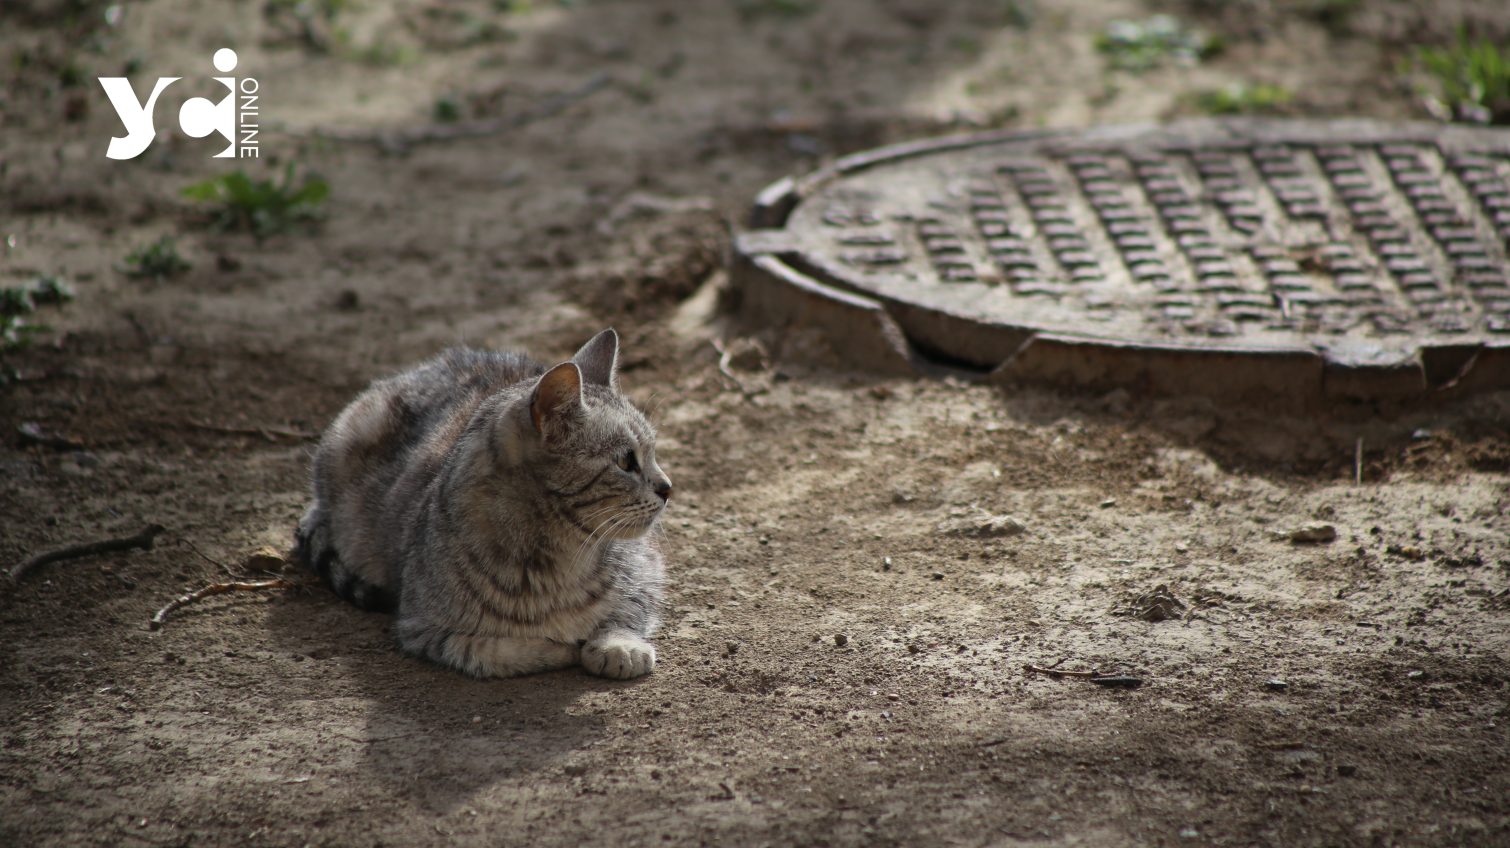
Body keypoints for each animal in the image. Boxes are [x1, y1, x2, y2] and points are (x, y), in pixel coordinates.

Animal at [294, 327, 673, 675]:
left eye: (653, 452)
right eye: (625, 461)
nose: (668, 487)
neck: (552, 559)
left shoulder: (647, 571)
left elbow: (626, 610)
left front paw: (619, 646)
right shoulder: (423, 628)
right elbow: (493, 650)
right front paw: (556, 646)